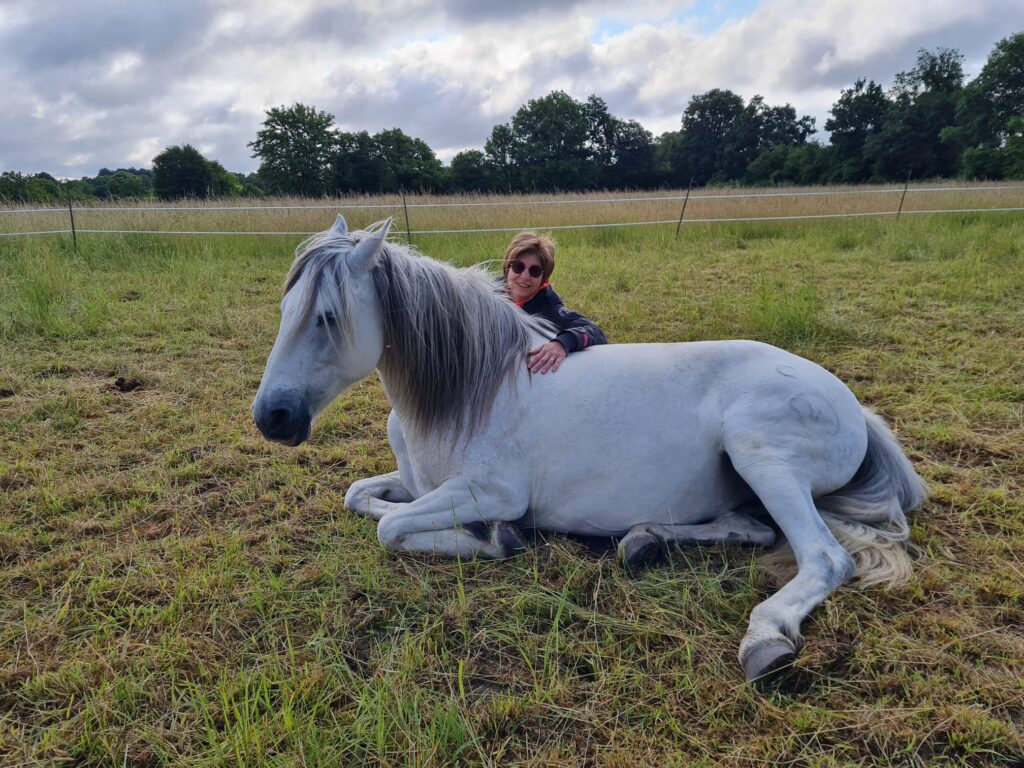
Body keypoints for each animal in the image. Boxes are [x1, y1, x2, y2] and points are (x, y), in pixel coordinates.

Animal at [252, 215, 928, 682]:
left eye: (328, 317)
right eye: (285, 308)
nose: (272, 417)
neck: (476, 387)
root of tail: (855, 407)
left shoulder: (489, 491)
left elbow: (390, 529)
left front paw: (497, 539)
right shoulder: (415, 483)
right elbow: (360, 497)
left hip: (761, 456)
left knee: (825, 557)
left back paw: (765, 640)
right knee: (752, 530)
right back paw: (644, 541)